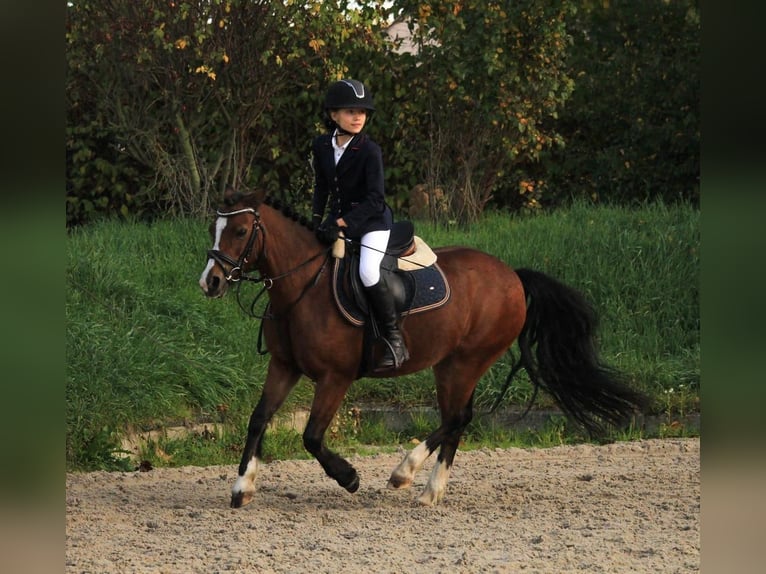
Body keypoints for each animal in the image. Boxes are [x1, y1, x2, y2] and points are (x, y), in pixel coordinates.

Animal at [201, 191, 652, 510]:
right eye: (213, 230)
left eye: (239, 231)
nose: (211, 282)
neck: (304, 287)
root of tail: (512, 275)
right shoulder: (284, 366)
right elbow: (258, 420)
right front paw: (242, 487)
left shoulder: (335, 377)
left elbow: (311, 436)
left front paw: (349, 477)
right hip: (451, 364)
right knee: (457, 419)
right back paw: (430, 490)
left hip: (468, 360)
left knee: (456, 418)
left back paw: (406, 474)